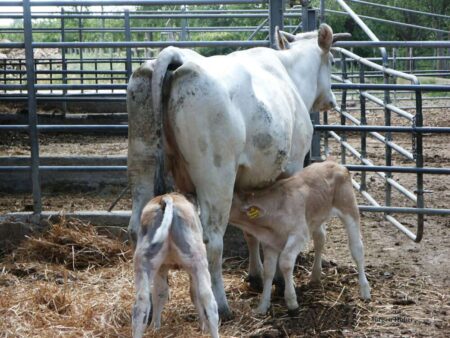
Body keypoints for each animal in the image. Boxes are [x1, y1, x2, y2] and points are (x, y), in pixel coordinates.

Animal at [128, 24, 346, 320]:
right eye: (332, 61)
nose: (331, 101)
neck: (290, 75)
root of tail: (175, 55)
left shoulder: (246, 183)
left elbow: (251, 231)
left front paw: (255, 275)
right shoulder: (290, 167)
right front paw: (278, 281)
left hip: (142, 161)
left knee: (139, 229)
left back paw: (148, 305)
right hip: (215, 177)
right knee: (212, 240)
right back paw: (220, 304)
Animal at [132, 193, 220, 338]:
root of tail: (166, 198)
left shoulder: (161, 268)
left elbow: (160, 293)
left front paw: (155, 327)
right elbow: (194, 294)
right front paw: (203, 327)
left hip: (144, 262)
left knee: (141, 303)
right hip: (198, 261)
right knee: (208, 298)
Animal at [230, 161, 370, 314]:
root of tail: (334, 163)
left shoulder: (299, 234)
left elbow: (285, 262)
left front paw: (291, 301)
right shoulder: (270, 242)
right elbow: (268, 270)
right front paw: (262, 306)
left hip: (349, 208)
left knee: (357, 249)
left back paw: (365, 291)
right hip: (316, 217)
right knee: (320, 238)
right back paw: (315, 275)